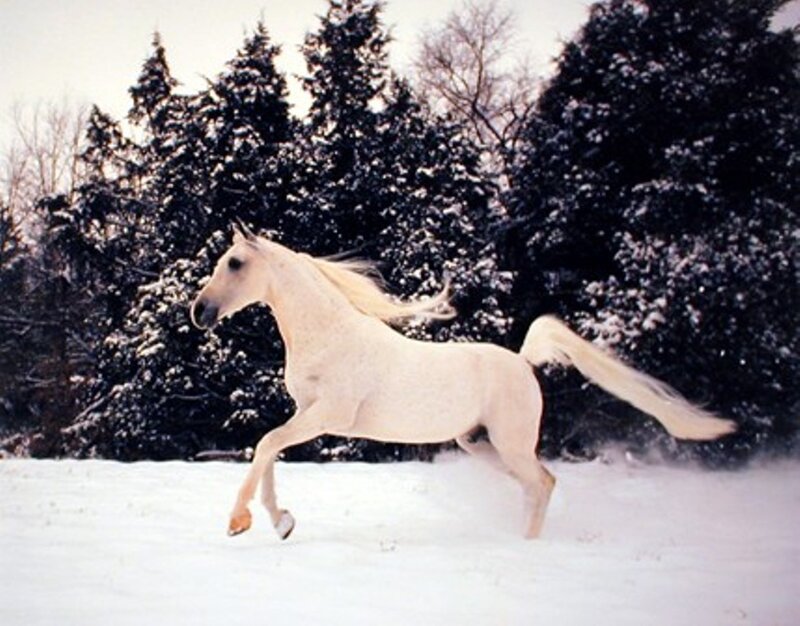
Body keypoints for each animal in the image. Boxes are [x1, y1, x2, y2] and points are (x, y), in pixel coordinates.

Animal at [190, 226, 736, 540]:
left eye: (235, 263)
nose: (199, 312)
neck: (330, 333)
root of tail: (523, 362)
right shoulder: (306, 412)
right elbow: (270, 451)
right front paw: (281, 522)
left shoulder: (328, 415)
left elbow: (267, 444)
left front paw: (239, 522)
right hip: (478, 443)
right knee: (537, 484)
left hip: (510, 442)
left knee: (543, 482)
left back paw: (526, 548)